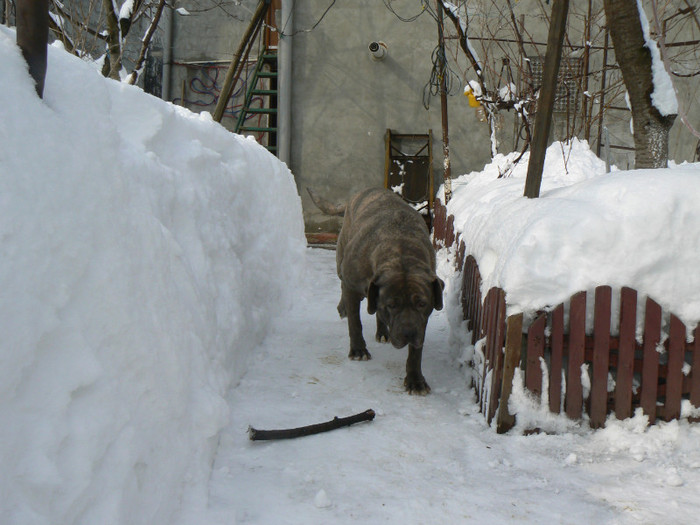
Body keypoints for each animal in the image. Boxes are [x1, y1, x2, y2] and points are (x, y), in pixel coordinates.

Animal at [334, 188, 442, 392]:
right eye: (391, 305)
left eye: (422, 303)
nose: (409, 333)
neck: (400, 255)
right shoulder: (352, 286)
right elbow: (355, 322)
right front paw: (358, 350)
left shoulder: (422, 320)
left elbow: (416, 351)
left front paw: (415, 379)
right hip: (341, 258)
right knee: (343, 286)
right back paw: (342, 308)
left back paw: (383, 332)